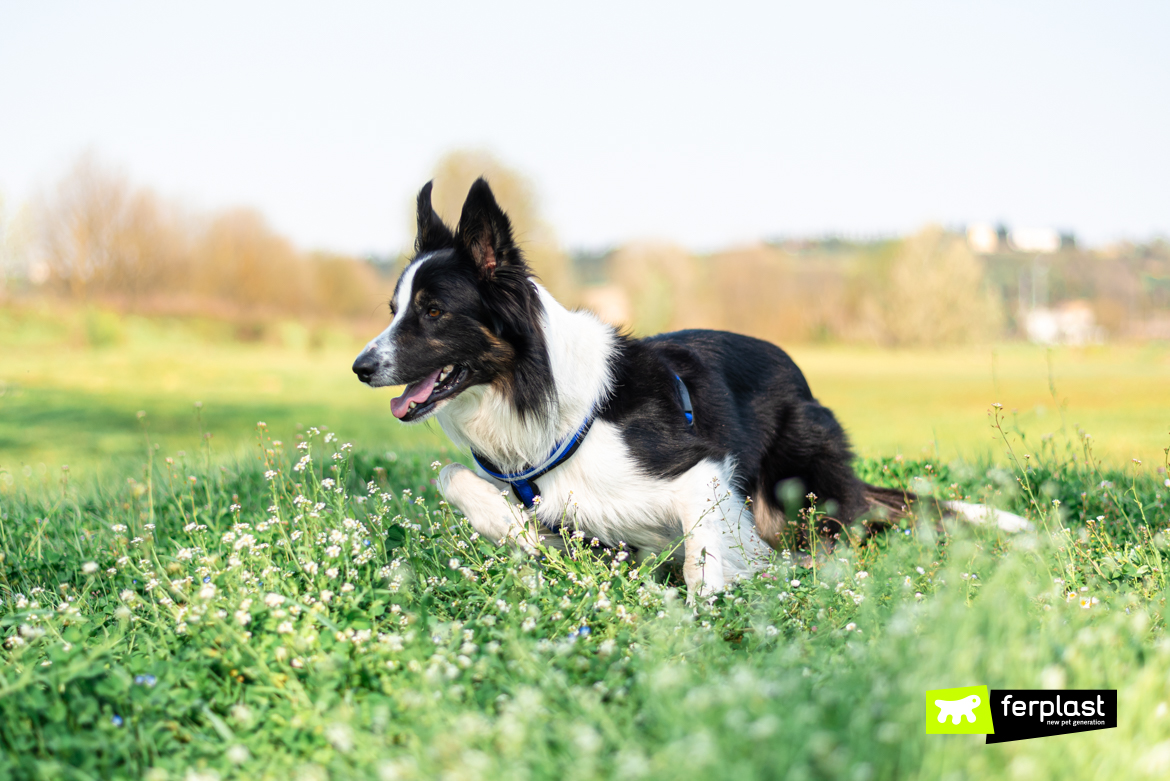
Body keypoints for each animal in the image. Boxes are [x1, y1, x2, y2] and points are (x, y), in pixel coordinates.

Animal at [351, 180, 1029, 603]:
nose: (360, 367)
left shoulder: (700, 471)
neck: (547, 397)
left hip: (800, 477)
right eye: (393, 309)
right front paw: (516, 530)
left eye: (433, 311)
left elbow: (706, 556)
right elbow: (455, 478)